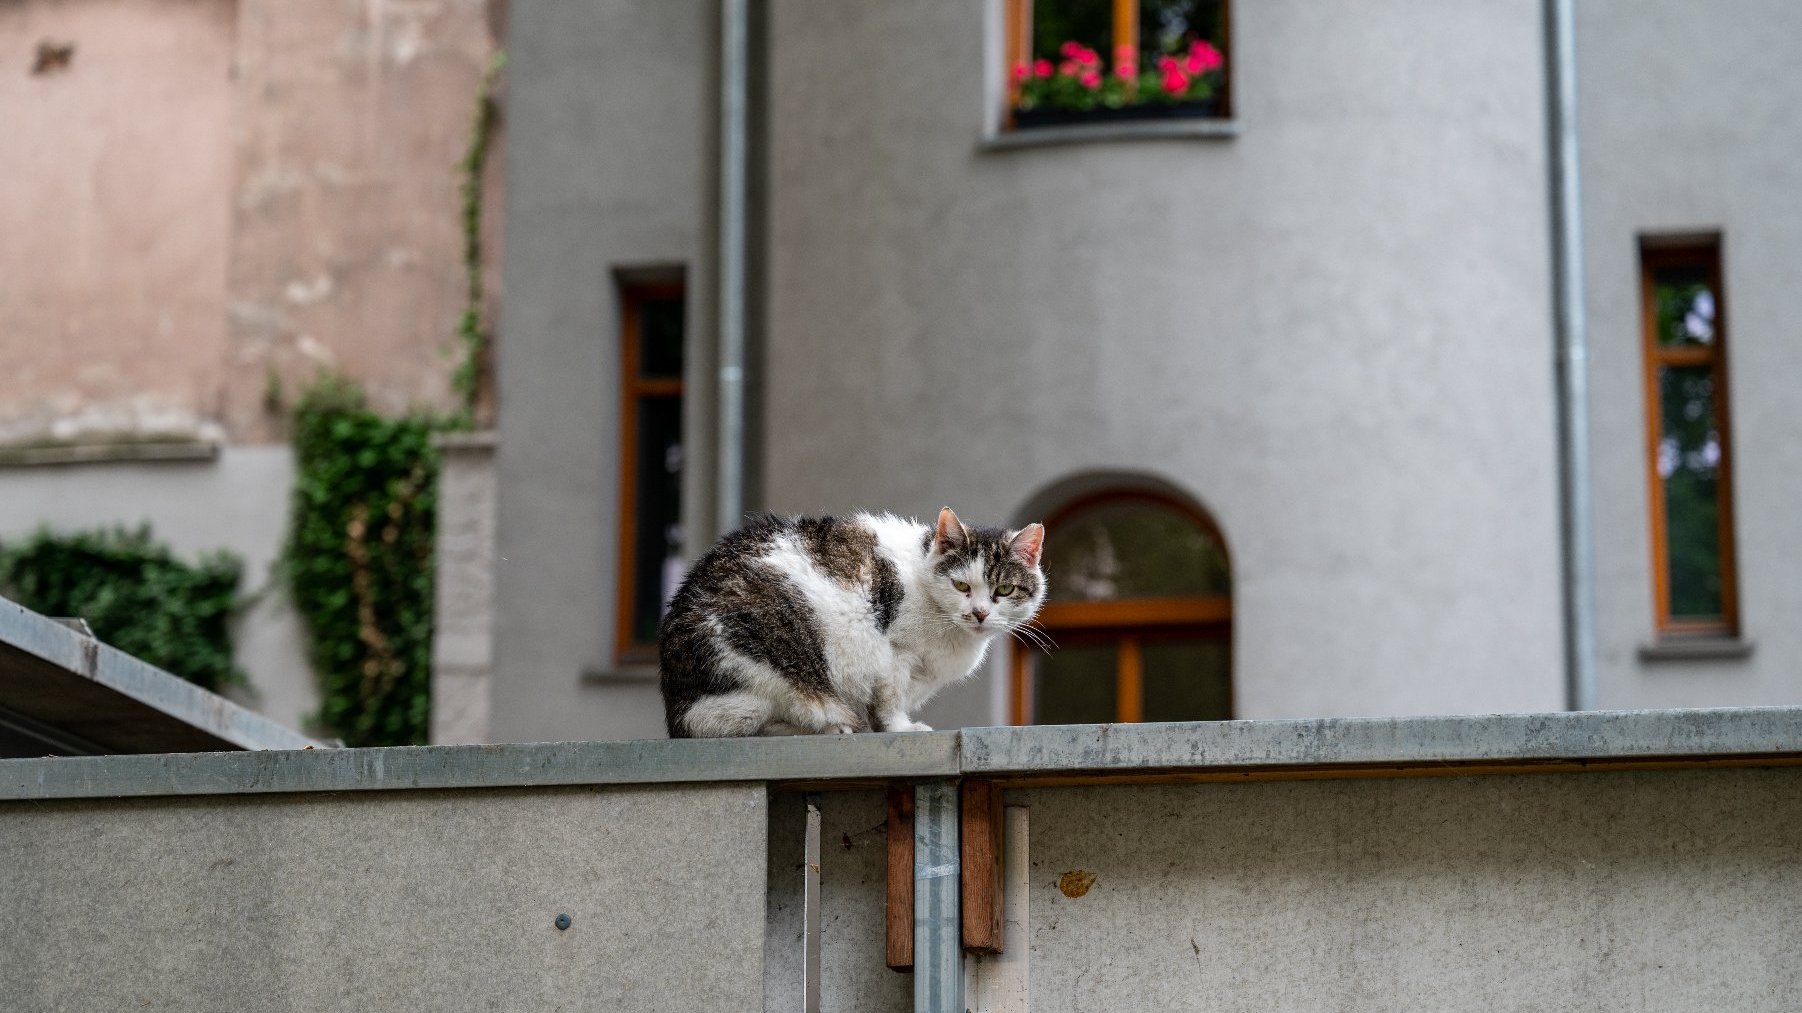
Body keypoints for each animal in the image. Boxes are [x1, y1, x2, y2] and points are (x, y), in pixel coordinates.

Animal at [663, 504, 1052, 731]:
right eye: (961, 585)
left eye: (1004, 590)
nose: (980, 613)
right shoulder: (894, 654)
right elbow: (890, 698)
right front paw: (900, 728)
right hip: (764, 671)